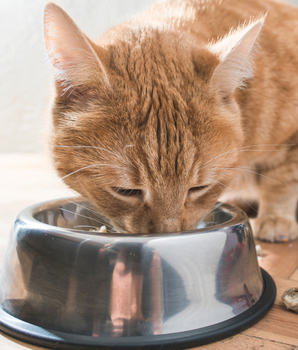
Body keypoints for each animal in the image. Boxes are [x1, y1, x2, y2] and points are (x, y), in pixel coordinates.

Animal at [42, 0, 298, 241]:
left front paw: (276, 216)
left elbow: (283, 177)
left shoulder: (290, 136)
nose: (168, 232)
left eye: (199, 188)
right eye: (125, 191)